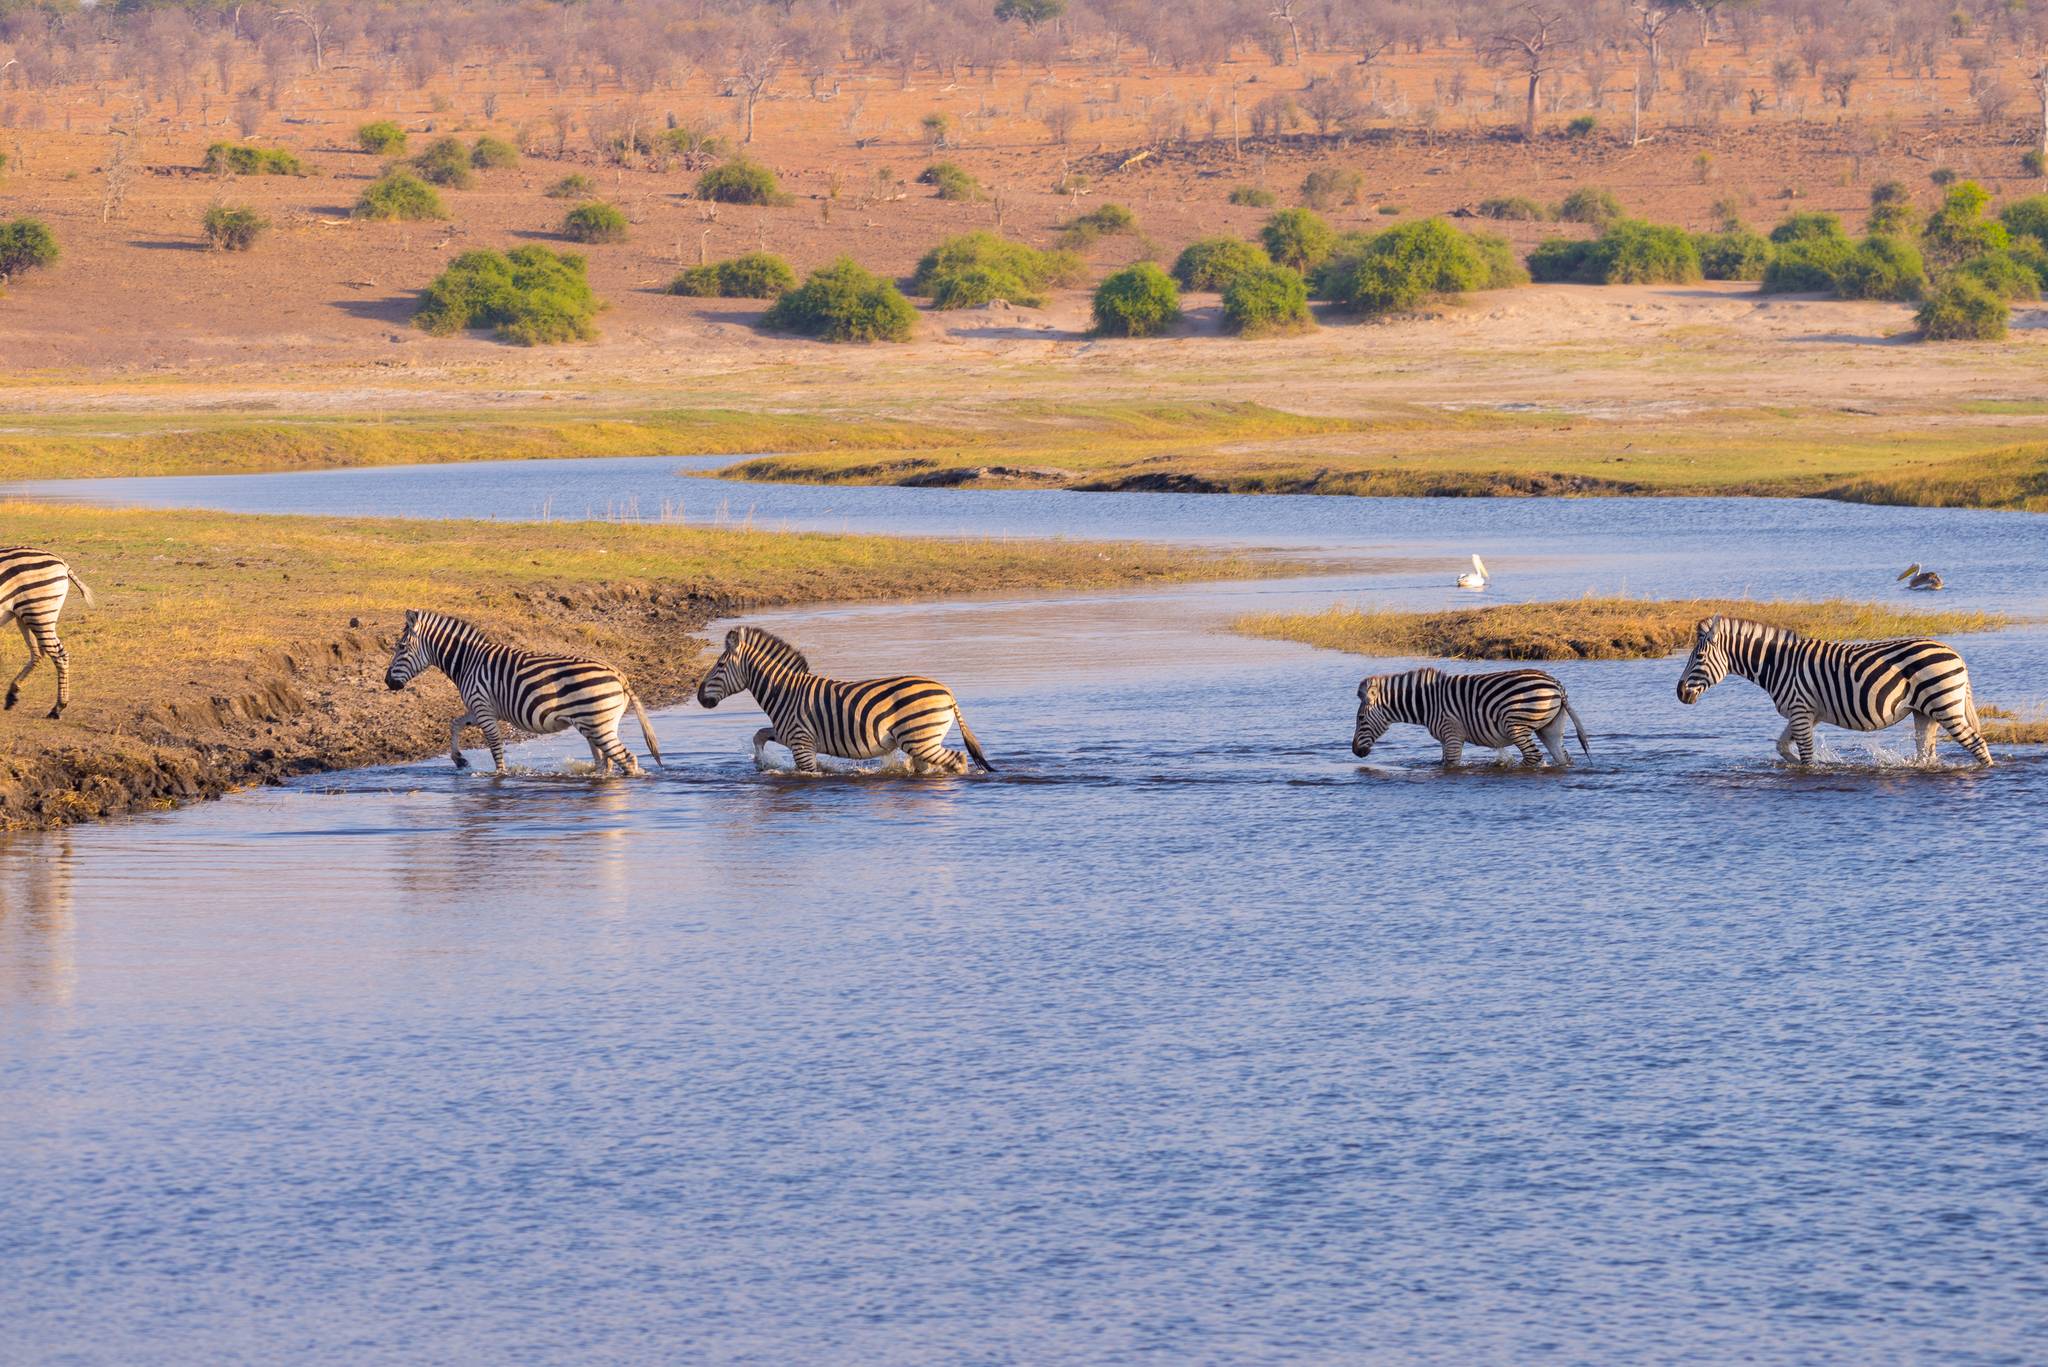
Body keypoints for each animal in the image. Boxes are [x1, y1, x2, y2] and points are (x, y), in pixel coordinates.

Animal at [1, 545, 94, 721]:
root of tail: (60, 560)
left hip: (38, 613)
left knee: (59, 655)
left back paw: (57, 708)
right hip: (25, 615)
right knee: (38, 653)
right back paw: (12, 694)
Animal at [385, 610, 663, 774]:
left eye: (400, 647)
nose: (388, 682)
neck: (468, 661)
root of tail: (619, 674)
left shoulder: (483, 708)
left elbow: (495, 747)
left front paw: (500, 776)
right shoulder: (480, 708)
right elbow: (454, 723)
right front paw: (459, 759)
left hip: (598, 725)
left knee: (627, 759)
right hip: (597, 725)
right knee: (606, 761)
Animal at [696, 627, 999, 774]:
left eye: (720, 665)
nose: (699, 697)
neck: (784, 692)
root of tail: (947, 691)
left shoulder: (801, 743)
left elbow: (808, 772)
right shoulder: (790, 734)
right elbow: (758, 735)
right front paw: (761, 764)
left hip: (919, 738)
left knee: (958, 758)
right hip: (921, 741)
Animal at [1351, 664, 1589, 770]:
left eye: (1361, 719)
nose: (1355, 751)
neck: (1427, 704)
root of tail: (1556, 684)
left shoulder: (1452, 733)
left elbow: (1451, 765)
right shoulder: (1446, 739)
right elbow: (1444, 761)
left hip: (1516, 725)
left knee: (1534, 756)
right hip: (1550, 729)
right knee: (1563, 758)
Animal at [1671, 614, 1990, 766]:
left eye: (1699, 657)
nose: (1679, 692)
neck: (1778, 663)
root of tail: (1955, 654)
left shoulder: (1800, 710)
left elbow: (1806, 756)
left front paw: (1812, 767)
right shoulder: (1805, 713)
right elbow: (1782, 747)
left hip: (1945, 706)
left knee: (1976, 743)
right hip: (1925, 712)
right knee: (1926, 753)